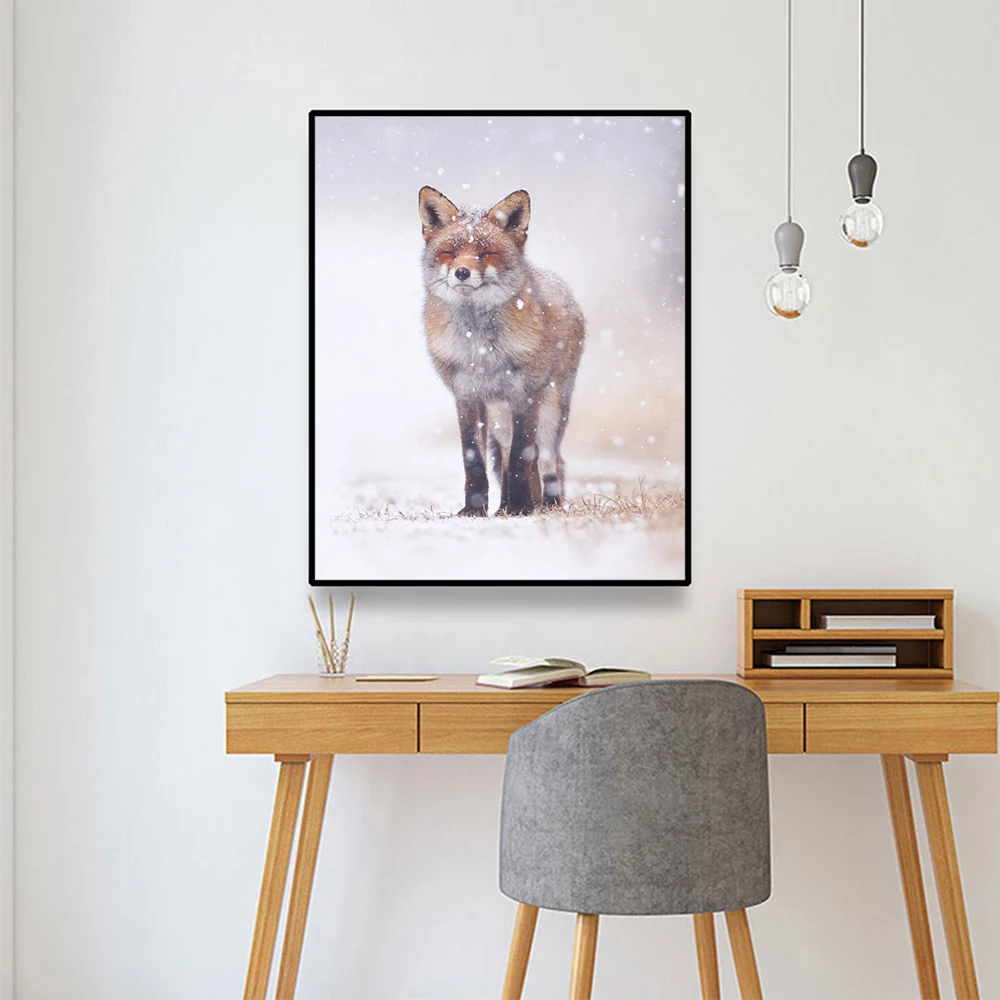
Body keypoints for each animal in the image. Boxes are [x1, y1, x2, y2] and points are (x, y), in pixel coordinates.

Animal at [419, 185, 585, 517]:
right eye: (451, 252)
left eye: (486, 253)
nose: (462, 272)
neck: (480, 349)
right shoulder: (467, 396)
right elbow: (475, 459)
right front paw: (474, 510)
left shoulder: (525, 394)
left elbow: (524, 456)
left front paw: (522, 507)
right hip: (499, 415)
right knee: (507, 455)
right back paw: (505, 505)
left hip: (551, 409)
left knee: (548, 460)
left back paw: (545, 505)